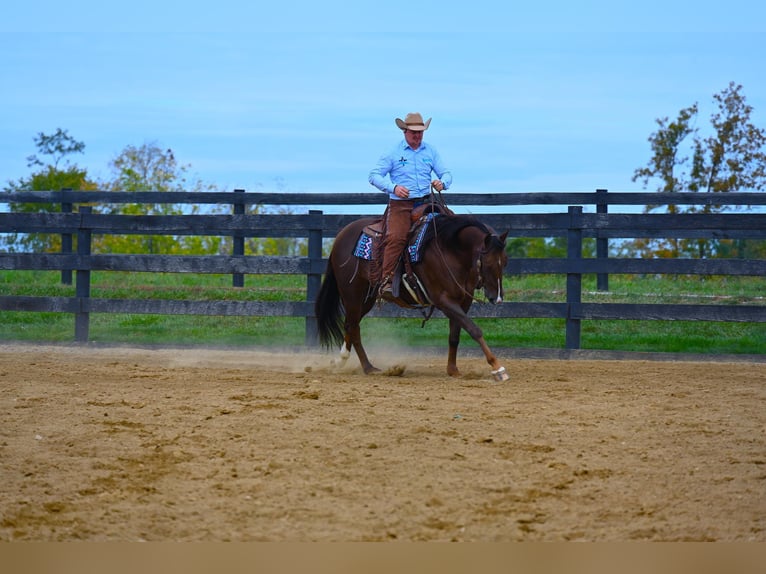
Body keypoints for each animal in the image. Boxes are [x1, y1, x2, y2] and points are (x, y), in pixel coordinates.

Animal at [316, 213, 512, 382]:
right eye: (487, 263)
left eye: (505, 261)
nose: (497, 298)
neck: (450, 250)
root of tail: (341, 237)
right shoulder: (444, 300)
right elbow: (474, 329)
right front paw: (497, 368)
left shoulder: (463, 302)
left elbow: (455, 335)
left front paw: (453, 370)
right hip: (352, 294)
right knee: (354, 327)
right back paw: (368, 367)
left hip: (366, 298)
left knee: (350, 324)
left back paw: (340, 361)